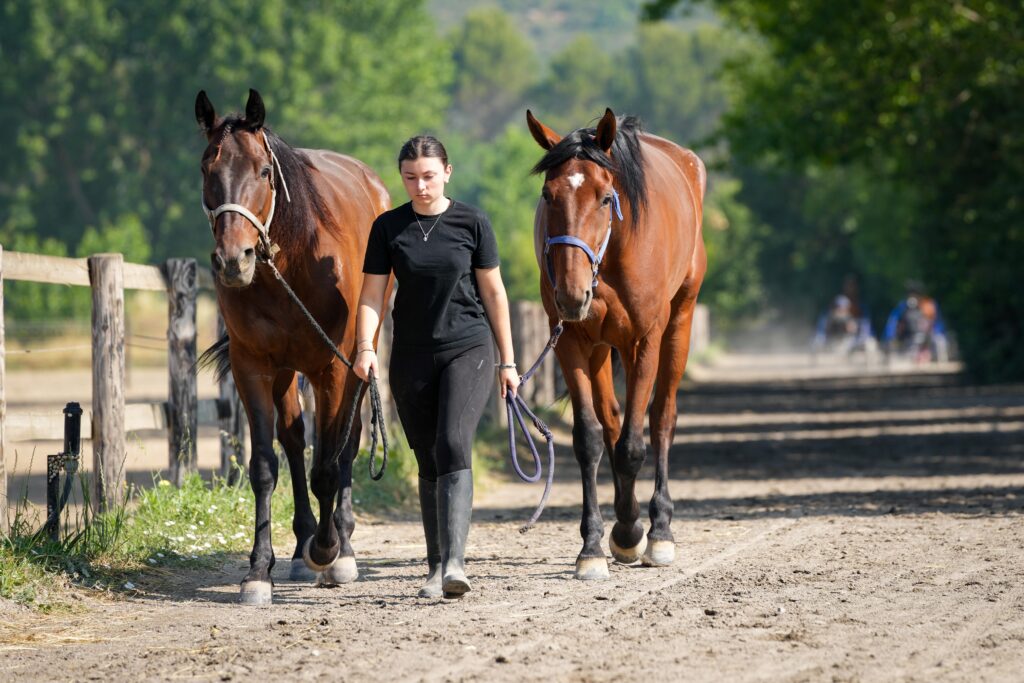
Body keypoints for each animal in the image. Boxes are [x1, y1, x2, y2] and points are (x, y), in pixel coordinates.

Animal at [195, 89, 391, 604]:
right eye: (206, 168)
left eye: (264, 171)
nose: (233, 260)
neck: (292, 267)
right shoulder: (253, 367)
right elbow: (266, 465)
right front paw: (258, 571)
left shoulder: (334, 369)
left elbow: (329, 463)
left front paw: (329, 551)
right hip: (286, 373)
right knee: (295, 438)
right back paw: (303, 544)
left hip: (357, 363)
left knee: (346, 444)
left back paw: (339, 544)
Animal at [526, 108, 706, 580]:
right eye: (548, 194)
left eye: (606, 198)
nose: (571, 294)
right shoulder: (570, 340)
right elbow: (590, 438)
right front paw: (595, 544)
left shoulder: (644, 341)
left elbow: (632, 445)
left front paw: (636, 535)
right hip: (602, 346)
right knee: (610, 420)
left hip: (677, 324)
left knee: (661, 419)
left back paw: (658, 529)